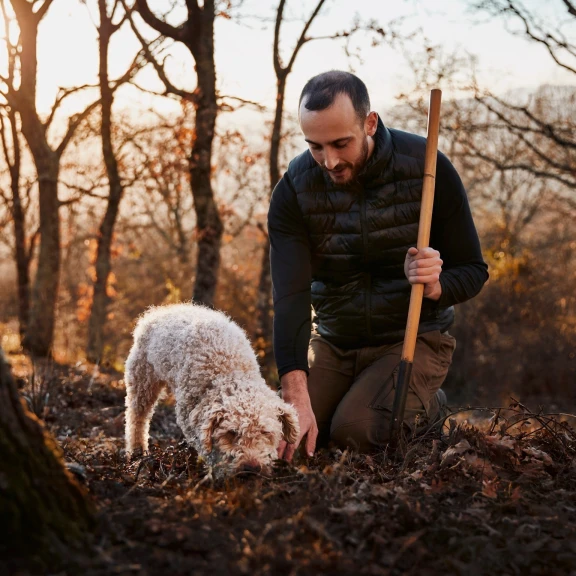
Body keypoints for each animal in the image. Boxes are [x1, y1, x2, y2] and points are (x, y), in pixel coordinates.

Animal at [124, 304, 300, 474]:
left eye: (265, 432)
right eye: (231, 433)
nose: (251, 469)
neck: (230, 370)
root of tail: (156, 312)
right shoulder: (189, 414)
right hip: (142, 380)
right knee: (137, 419)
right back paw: (137, 452)